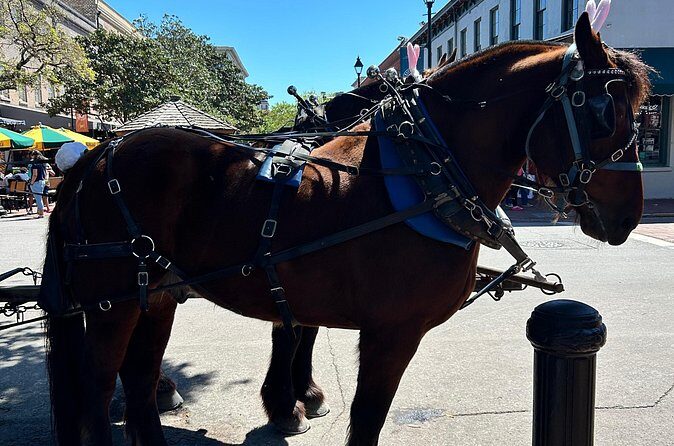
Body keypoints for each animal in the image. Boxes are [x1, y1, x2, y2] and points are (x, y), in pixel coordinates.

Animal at [42, 13, 650, 446]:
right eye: (604, 113)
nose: (628, 217)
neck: (426, 171)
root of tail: (94, 157)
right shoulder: (390, 332)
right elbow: (365, 417)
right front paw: (292, 404)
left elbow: (302, 338)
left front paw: (294, 400)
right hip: (113, 302)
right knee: (100, 386)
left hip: (156, 296)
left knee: (140, 381)